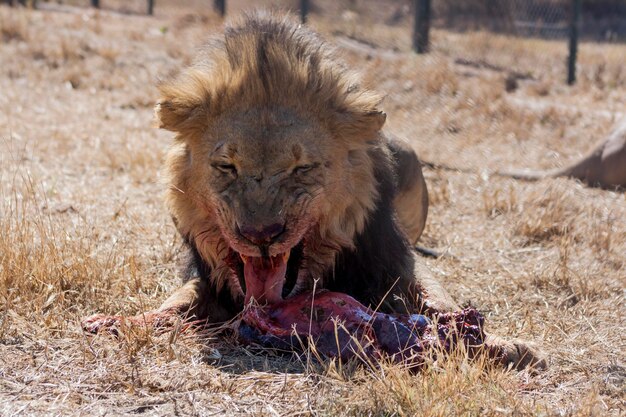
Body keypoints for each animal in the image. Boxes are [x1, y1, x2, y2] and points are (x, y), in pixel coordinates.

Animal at [81, 11, 540, 368]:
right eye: (226, 166)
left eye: (301, 168)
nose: (261, 236)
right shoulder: (206, 276)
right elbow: (176, 300)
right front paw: (123, 323)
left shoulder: (393, 258)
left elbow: (438, 298)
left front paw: (501, 344)